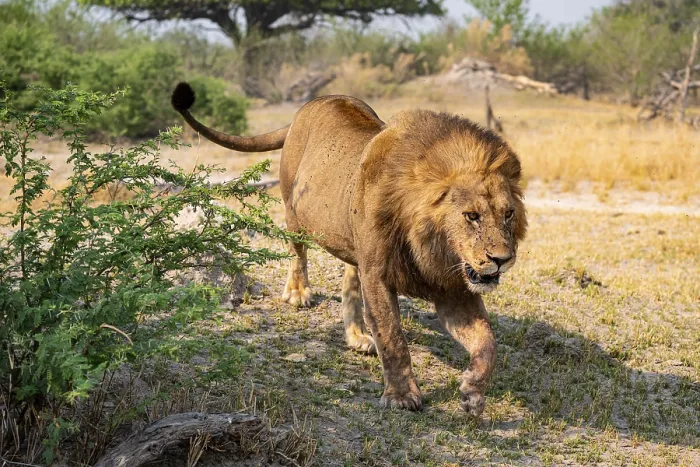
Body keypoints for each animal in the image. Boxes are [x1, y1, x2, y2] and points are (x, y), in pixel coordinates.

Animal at [171, 83, 527, 416]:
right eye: (471, 216)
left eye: (508, 214)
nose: (502, 260)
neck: (433, 249)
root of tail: (309, 105)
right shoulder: (379, 275)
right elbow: (392, 335)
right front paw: (401, 396)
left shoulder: (453, 287)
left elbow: (487, 342)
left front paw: (472, 393)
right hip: (293, 209)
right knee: (297, 253)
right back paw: (298, 293)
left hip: (353, 246)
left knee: (349, 284)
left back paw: (357, 336)